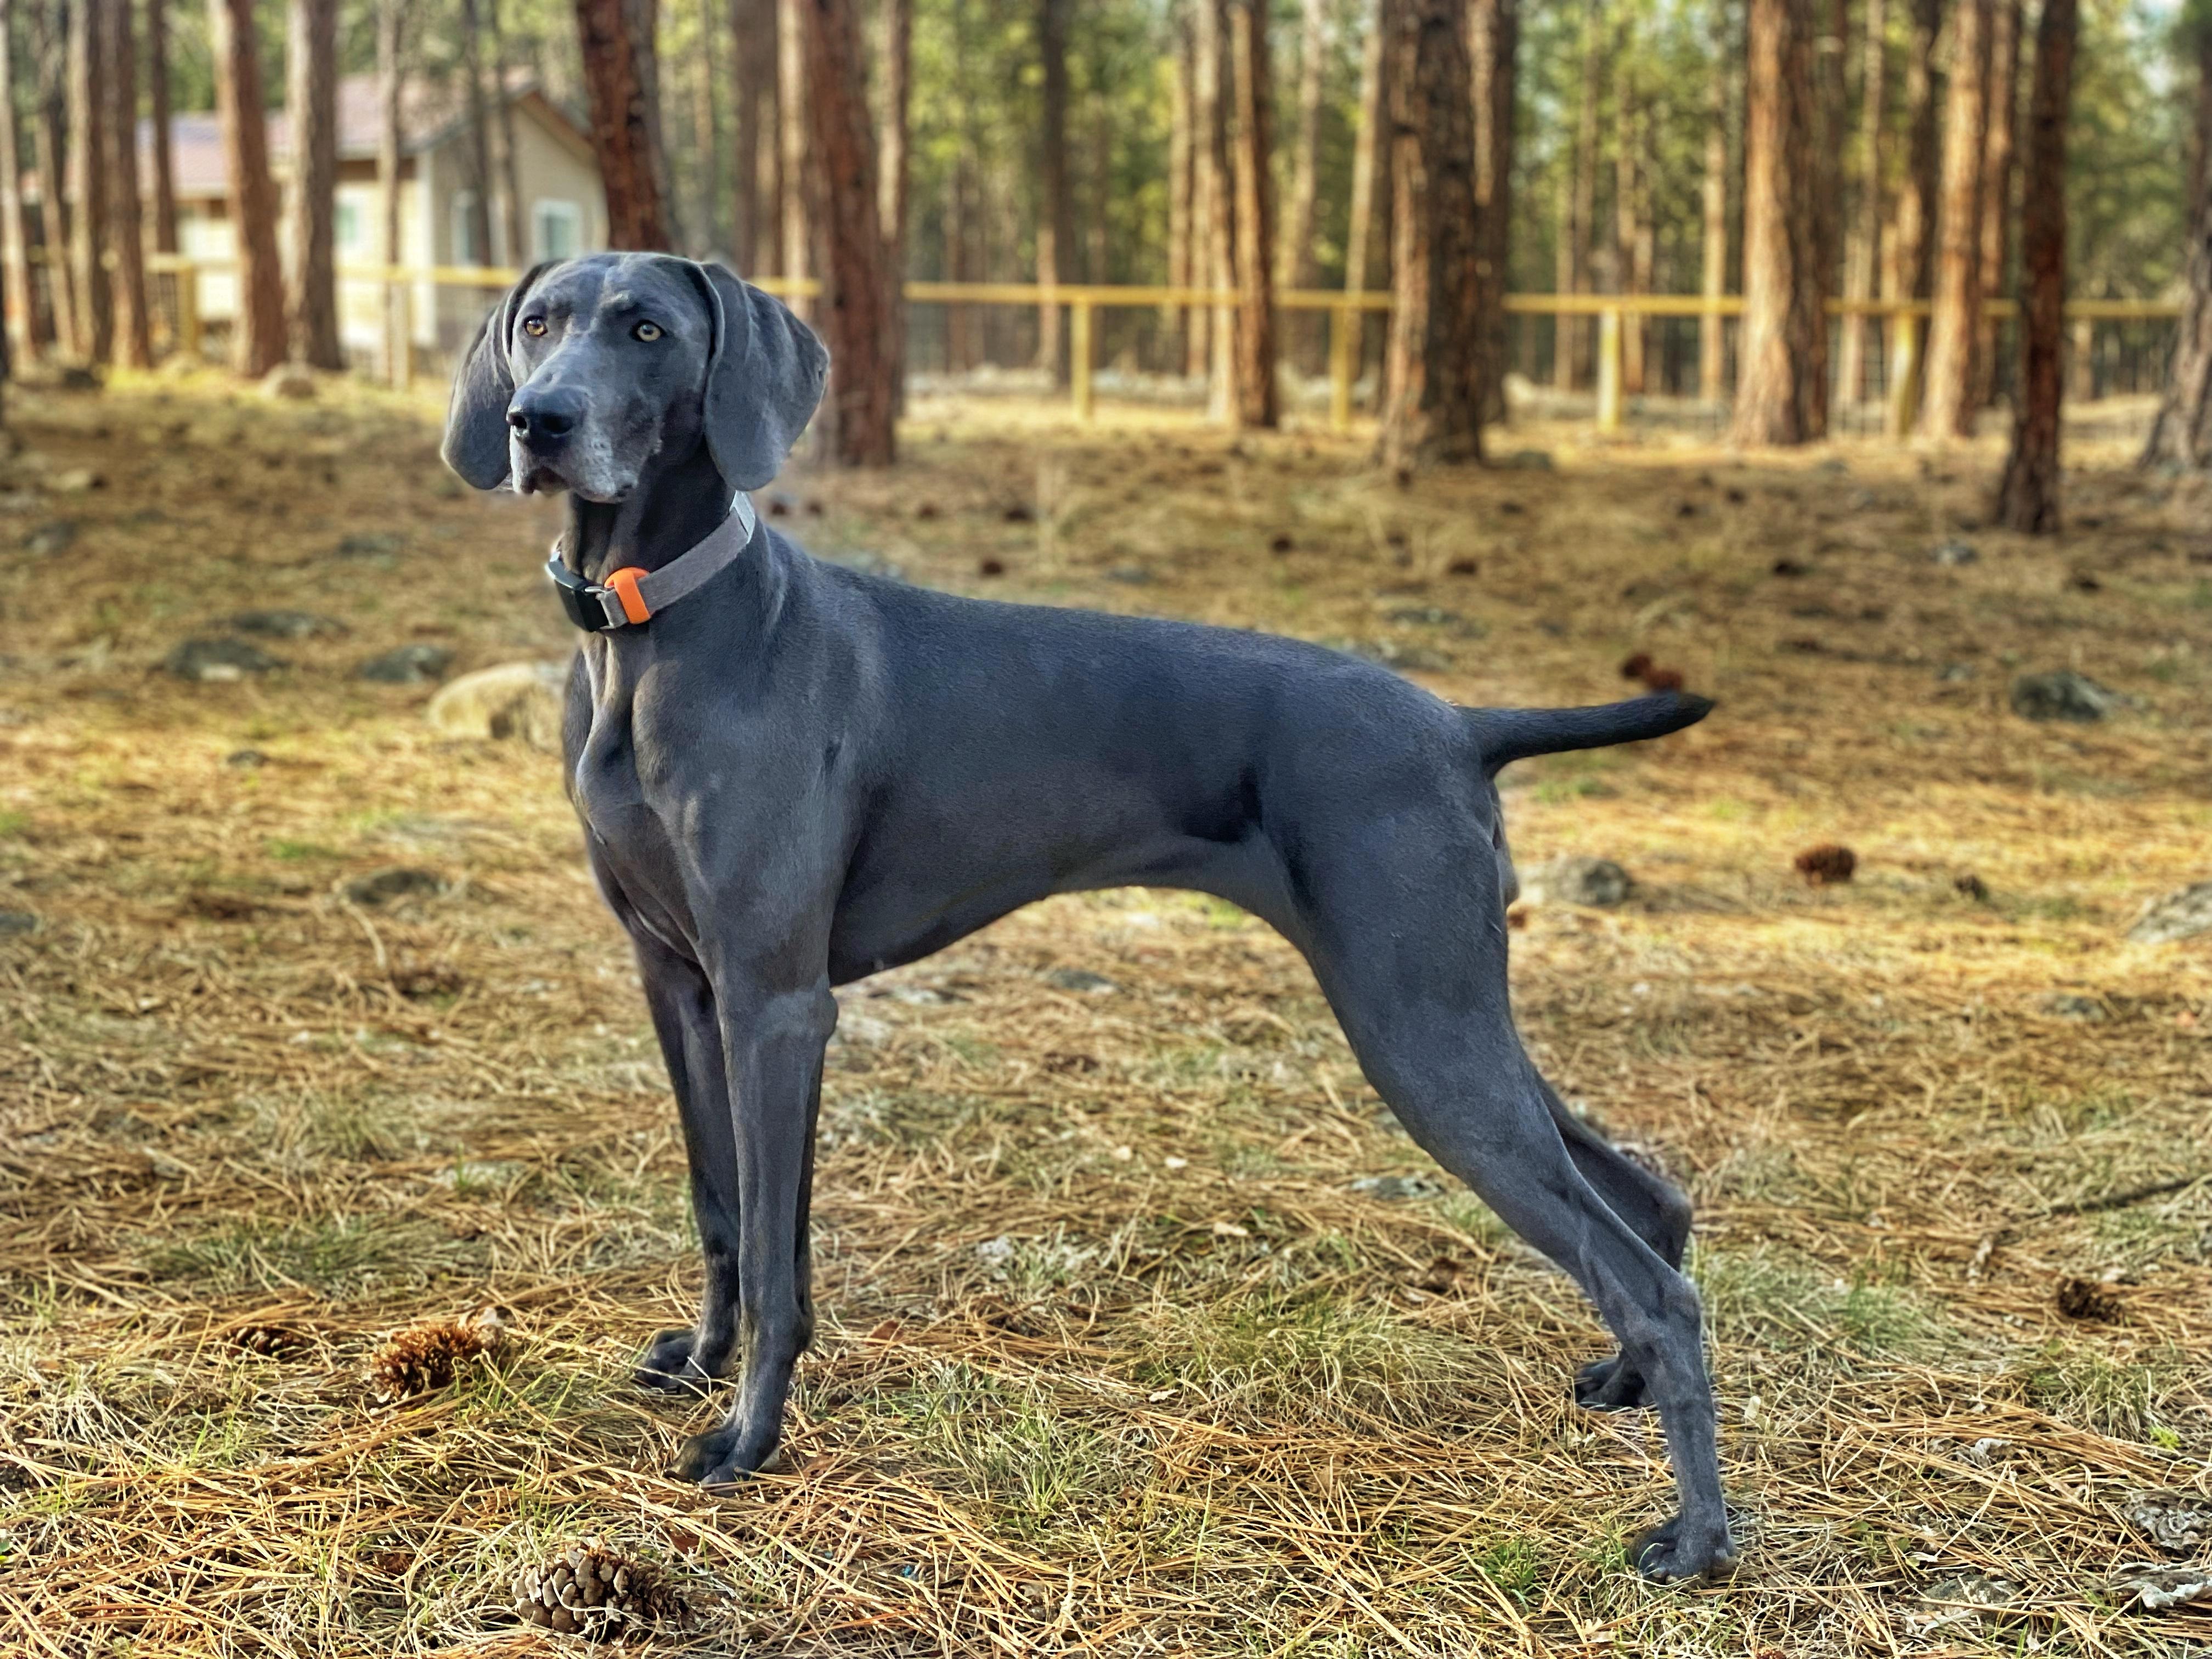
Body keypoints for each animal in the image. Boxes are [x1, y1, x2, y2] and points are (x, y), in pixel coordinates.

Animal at [441, 251, 1734, 1584]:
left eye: (647, 330)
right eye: (537, 322)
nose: (538, 420)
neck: (652, 633)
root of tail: (1463, 723)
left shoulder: (775, 1003)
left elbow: (775, 1254)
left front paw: (748, 1436)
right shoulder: (678, 984)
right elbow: (719, 1211)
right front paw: (699, 1365)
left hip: (1415, 1021)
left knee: (1653, 1281)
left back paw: (1696, 1537)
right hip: (1445, 1008)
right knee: (1648, 1203)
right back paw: (1623, 1381)